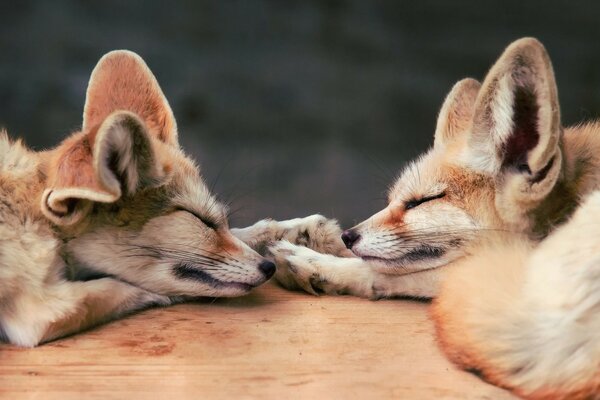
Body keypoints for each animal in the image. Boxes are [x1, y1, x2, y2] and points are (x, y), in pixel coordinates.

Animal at [0, 51, 332, 348]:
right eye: (199, 219)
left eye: (217, 219)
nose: (268, 268)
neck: (30, 211)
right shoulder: (40, 311)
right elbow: (126, 287)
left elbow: (243, 234)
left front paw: (296, 233)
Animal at [274, 38, 600, 400]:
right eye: (392, 200)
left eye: (422, 201)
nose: (349, 235)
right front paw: (312, 236)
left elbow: (392, 271)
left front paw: (317, 262)